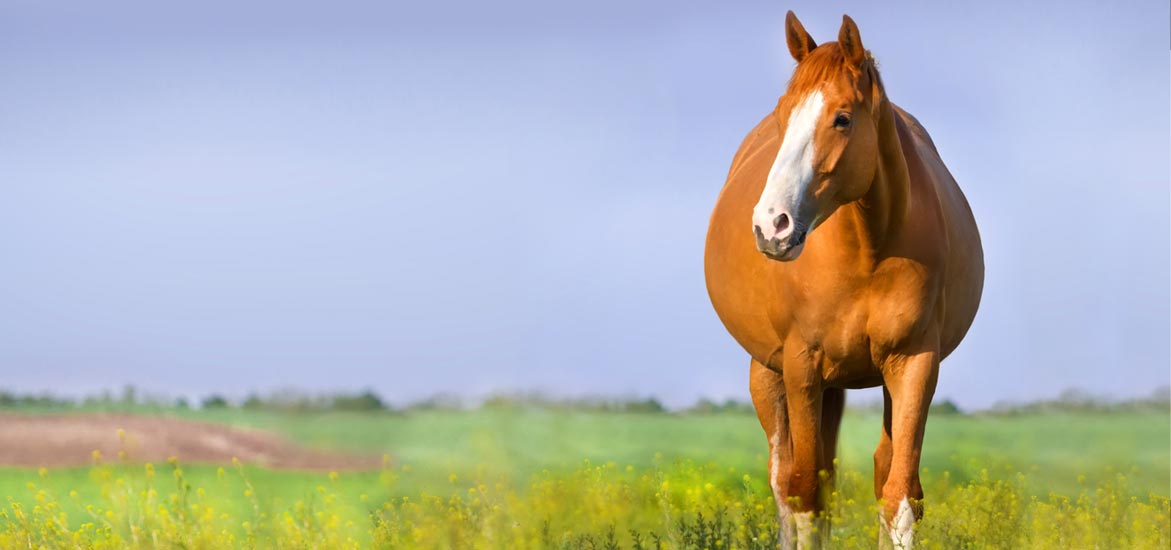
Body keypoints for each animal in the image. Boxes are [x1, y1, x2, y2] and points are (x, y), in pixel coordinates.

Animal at [702, 10, 988, 547]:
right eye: (783, 114)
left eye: (842, 118)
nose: (771, 226)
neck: (866, 252)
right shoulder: (801, 366)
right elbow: (805, 496)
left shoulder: (914, 363)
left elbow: (899, 494)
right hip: (769, 375)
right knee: (785, 480)